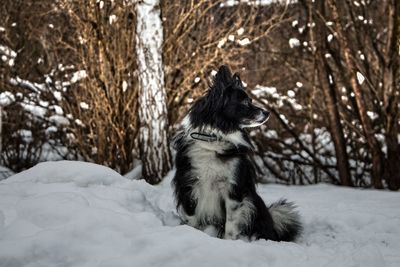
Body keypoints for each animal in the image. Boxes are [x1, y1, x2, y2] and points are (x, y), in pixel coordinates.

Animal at [171, 66, 300, 242]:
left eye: (250, 100)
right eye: (245, 102)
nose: (267, 113)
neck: (213, 138)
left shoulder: (234, 190)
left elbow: (231, 225)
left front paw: (228, 243)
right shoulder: (188, 186)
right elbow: (192, 219)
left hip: (255, 203)